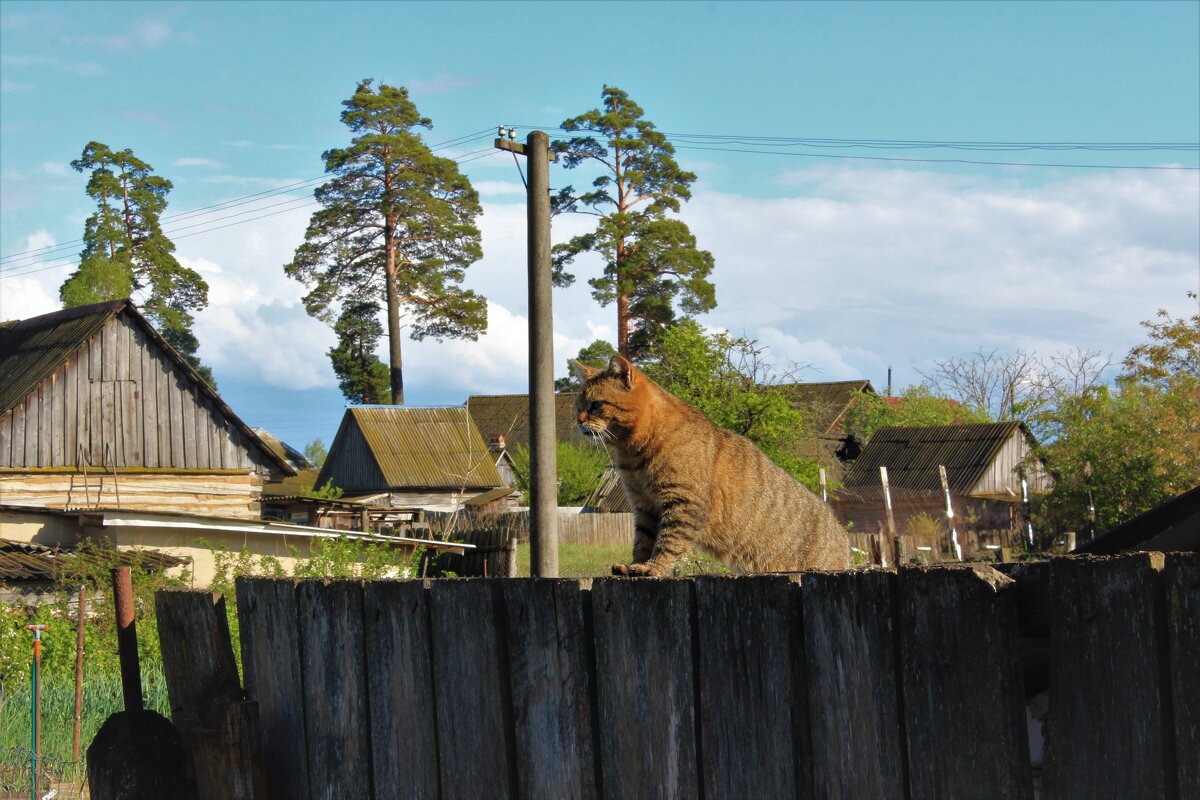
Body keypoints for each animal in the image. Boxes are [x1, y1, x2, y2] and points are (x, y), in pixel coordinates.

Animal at [573, 357, 849, 575]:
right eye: (578, 406)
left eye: (596, 404)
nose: (578, 421)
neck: (632, 452)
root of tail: (843, 537)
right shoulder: (644, 505)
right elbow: (643, 540)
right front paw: (634, 564)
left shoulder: (683, 503)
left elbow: (667, 542)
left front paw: (652, 567)